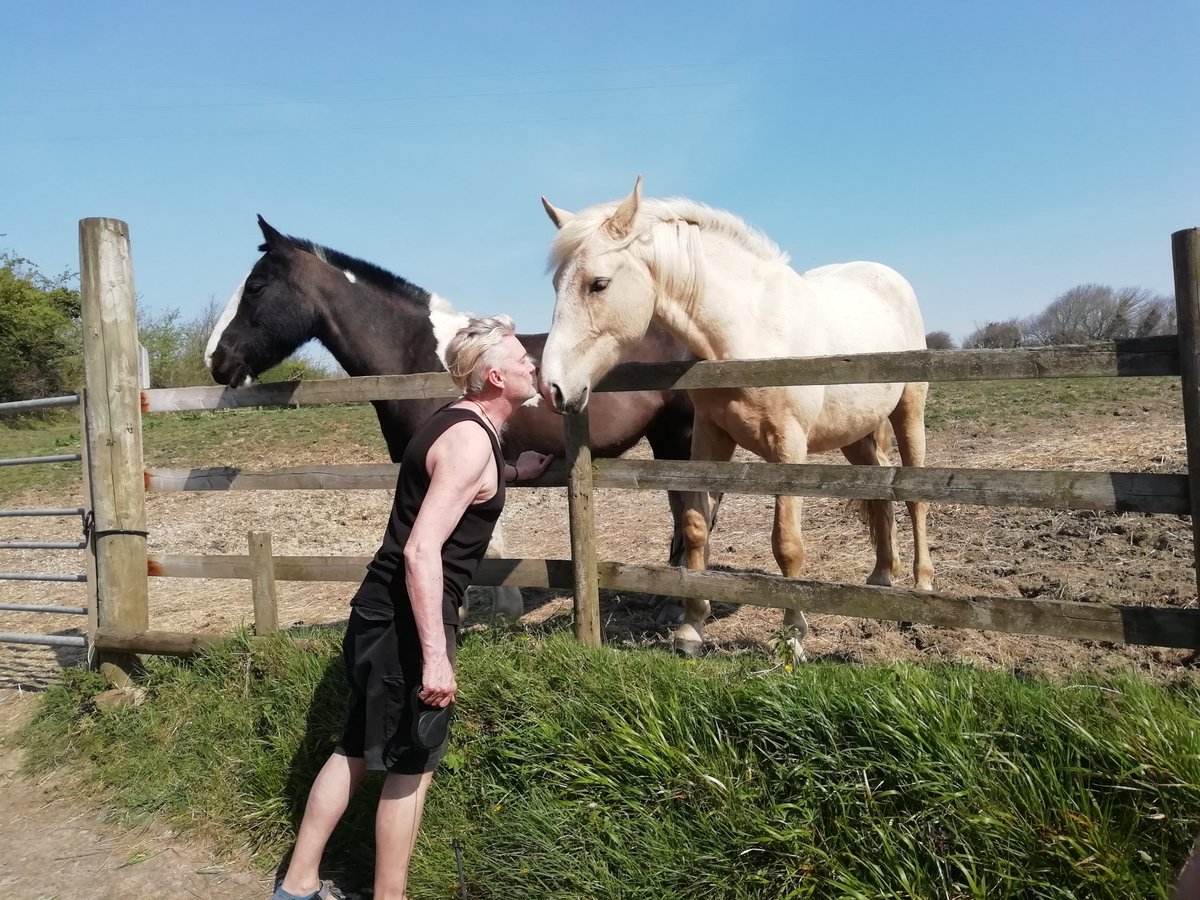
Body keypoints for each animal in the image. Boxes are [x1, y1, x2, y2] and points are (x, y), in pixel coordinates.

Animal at [205, 215, 706, 623]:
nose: (216, 360)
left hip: (678, 438)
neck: (423, 359)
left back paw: (673, 607)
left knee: (693, 511)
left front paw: (489, 611)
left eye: (256, 287)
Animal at [538, 177, 933, 660]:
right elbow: (695, 527)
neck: (751, 332)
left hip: (909, 409)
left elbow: (787, 544)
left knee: (915, 497)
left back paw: (921, 591)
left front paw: (793, 636)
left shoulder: (789, 449)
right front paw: (690, 628)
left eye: (599, 284)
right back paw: (880, 579)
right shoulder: (710, 438)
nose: (553, 386)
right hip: (855, 434)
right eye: (556, 284)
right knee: (880, 492)